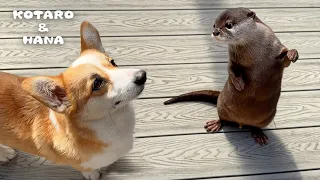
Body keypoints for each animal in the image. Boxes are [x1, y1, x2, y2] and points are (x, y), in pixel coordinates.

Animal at [164, 7, 298, 146]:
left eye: (228, 25)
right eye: (214, 25)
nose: (215, 32)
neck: (256, 54)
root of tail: (241, 122)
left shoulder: (276, 49)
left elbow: (286, 60)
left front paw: (292, 54)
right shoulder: (233, 58)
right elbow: (230, 69)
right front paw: (239, 84)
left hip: (266, 119)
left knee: (255, 126)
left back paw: (258, 134)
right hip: (222, 106)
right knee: (223, 118)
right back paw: (215, 124)